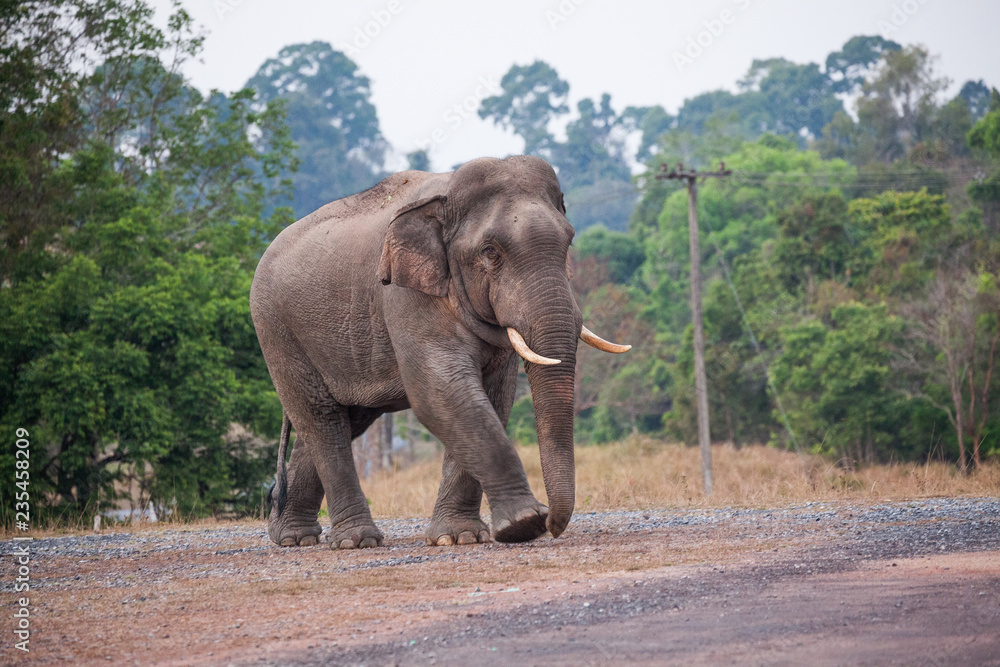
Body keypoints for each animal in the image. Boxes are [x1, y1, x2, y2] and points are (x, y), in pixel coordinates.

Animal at [249, 155, 630, 549]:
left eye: (568, 242)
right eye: (490, 252)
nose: (554, 525)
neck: (445, 198)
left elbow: (492, 396)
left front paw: (462, 537)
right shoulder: (405, 294)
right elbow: (442, 392)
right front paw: (524, 524)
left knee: (342, 419)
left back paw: (293, 537)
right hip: (276, 328)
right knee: (321, 418)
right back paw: (357, 541)